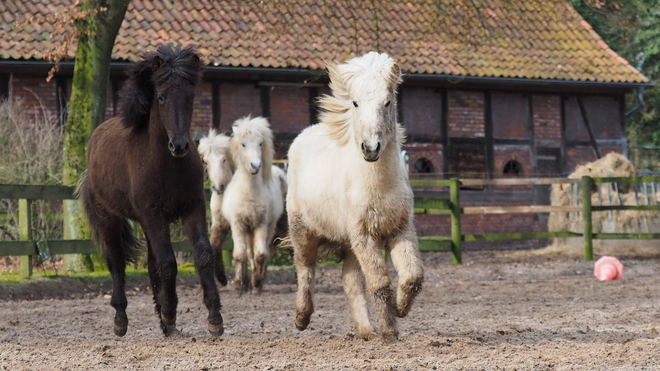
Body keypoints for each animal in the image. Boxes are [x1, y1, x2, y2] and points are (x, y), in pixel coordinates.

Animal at [77, 45, 226, 338]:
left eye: (191, 96)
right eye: (161, 97)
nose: (179, 145)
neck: (167, 165)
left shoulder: (193, 207)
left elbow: (203, 255)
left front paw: (214, 319)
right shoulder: (153, 213)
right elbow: (167, 263)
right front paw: (169, 313)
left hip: (147, 223)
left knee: (150, 262)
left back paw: (165, 324)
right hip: (111, 219)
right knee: (117, 262)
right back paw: (121, 320)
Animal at [222, 116, 286, 296]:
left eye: (260, 143)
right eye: (243, 144)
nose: (255, 166)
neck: (249, 193)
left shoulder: (261, 225)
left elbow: (260, 255)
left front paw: (256, 285)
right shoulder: (238, 225)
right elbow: (240, 255)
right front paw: (240, 286)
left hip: (268, 228)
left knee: (262, 253)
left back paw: (257, 282)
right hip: (248, 231)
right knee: (248, 254)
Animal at [288, 52, 422, 342]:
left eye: (387, 102)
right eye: (355, 102)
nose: (370, 149)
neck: (377, 187)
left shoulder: (400, 229)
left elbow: (412, 274)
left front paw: (401, 308)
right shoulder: (364, 235)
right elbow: (380, 281)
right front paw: (390, 330)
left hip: (349, 244)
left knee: (350, 282)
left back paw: (366, 331)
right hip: (303, 230)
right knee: (305, 269)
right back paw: (301, 318)